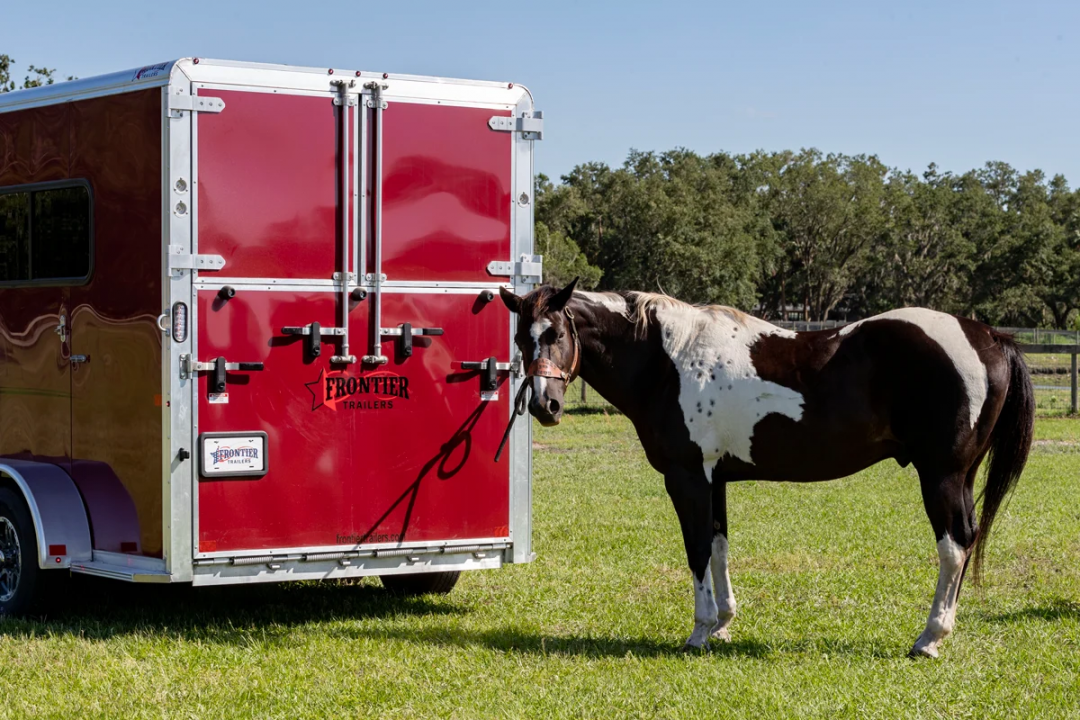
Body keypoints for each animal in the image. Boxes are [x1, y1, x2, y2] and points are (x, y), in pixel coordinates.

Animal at [499, 279, 1034, 658]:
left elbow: (697, 550)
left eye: (557, 333)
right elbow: (719, 547)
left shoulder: (687, 478)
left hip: (941, 476)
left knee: (953, 546)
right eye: (522, 338)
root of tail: (987, 335)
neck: (666, 360)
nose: (545, 405)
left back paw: (928, 639)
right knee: (967, 542)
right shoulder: (714, 479)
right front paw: (723, 624)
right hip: (961, 477)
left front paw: (699, 631)